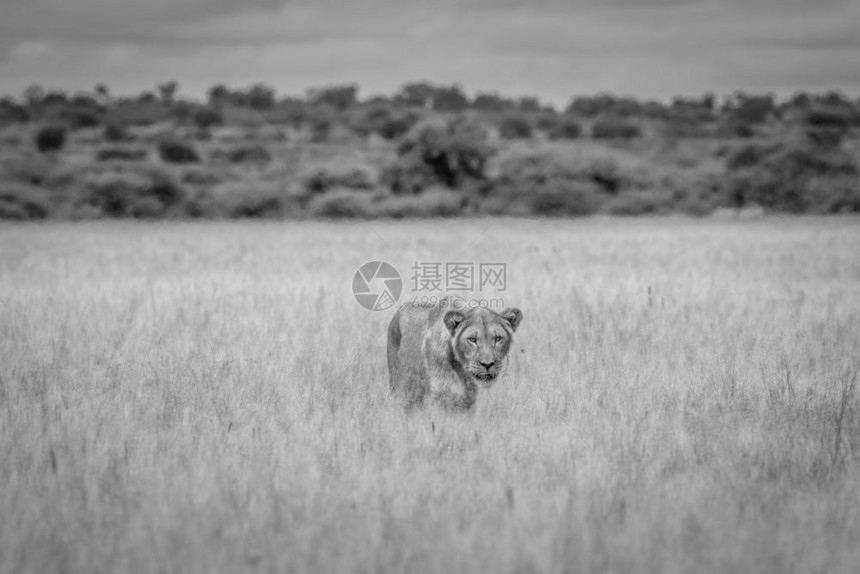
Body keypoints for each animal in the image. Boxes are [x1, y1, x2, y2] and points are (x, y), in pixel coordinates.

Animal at [386, 300, 520, 412]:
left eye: (498, 339)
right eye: (472, 339)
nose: (487, 364)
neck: (461, 369)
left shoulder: (468, 402)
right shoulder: (437, 397)